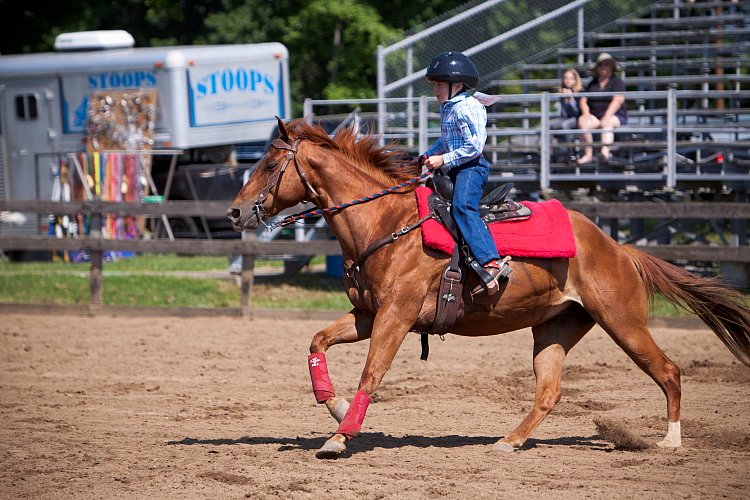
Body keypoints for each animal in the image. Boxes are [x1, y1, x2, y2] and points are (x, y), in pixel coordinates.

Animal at [229, 116, 750, 458]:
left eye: (270, 164)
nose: (234, 212)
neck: (387, 224)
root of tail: (619, 249)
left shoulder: (396, 317)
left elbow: (372, 374)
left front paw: (340, 438)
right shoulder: (367, 315)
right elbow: (316, 341)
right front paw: (336, 410)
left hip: (623, 321)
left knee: (669, 371)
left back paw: (670, 441)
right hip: (556, 328)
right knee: (549, 391)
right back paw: (509, 441)